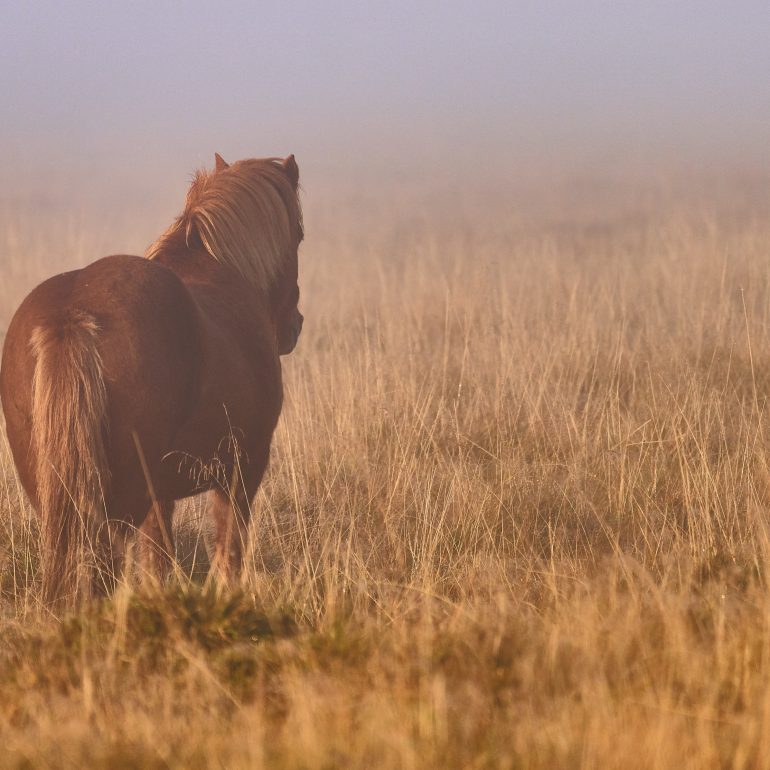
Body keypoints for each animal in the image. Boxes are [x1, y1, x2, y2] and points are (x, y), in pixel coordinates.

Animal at [0, 153, 304, 605]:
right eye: (299, 234)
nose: (294, 327)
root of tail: (72, 315)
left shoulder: (159, 494)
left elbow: (157, 561)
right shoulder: (243, 468)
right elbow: (228, 552)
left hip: (57, 495)